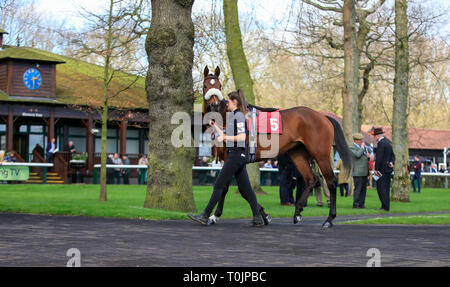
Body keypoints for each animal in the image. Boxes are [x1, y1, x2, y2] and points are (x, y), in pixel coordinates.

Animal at [200, 66, 352, 228]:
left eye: (219, 85)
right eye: (205, 86)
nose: (214, 105)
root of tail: (323, 116)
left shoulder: (233, 158)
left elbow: (233, 188)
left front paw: (215, 215)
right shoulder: (231, 159)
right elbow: (240, 189)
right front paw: (262, 214)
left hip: (320, 154)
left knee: (331, 181)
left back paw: (329, 219)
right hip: (297, 153)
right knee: (311, 179)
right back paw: (298, 212)